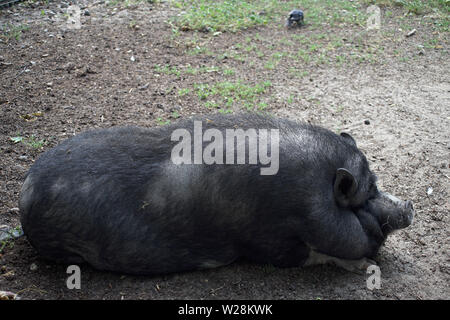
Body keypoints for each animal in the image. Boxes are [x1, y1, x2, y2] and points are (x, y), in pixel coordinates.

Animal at [21, 114, 414, 274]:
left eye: (377, 182)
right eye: (369, 191)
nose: (409, 205)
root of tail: (23, 194)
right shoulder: (273, 238)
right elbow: (309, 256)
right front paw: (364, 266)